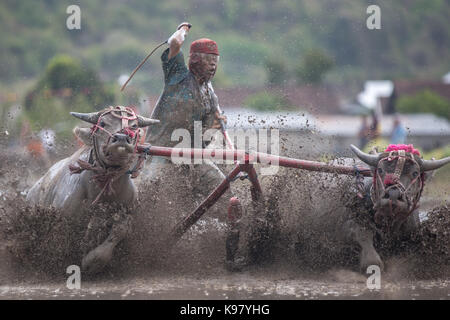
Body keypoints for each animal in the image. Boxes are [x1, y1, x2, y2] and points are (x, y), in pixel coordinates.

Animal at [26, 106, 159, 274]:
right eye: (102, 123)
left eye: (134, 126)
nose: (122, 138)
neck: (103, 191)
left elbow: (119, 231)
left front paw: (92, 261)